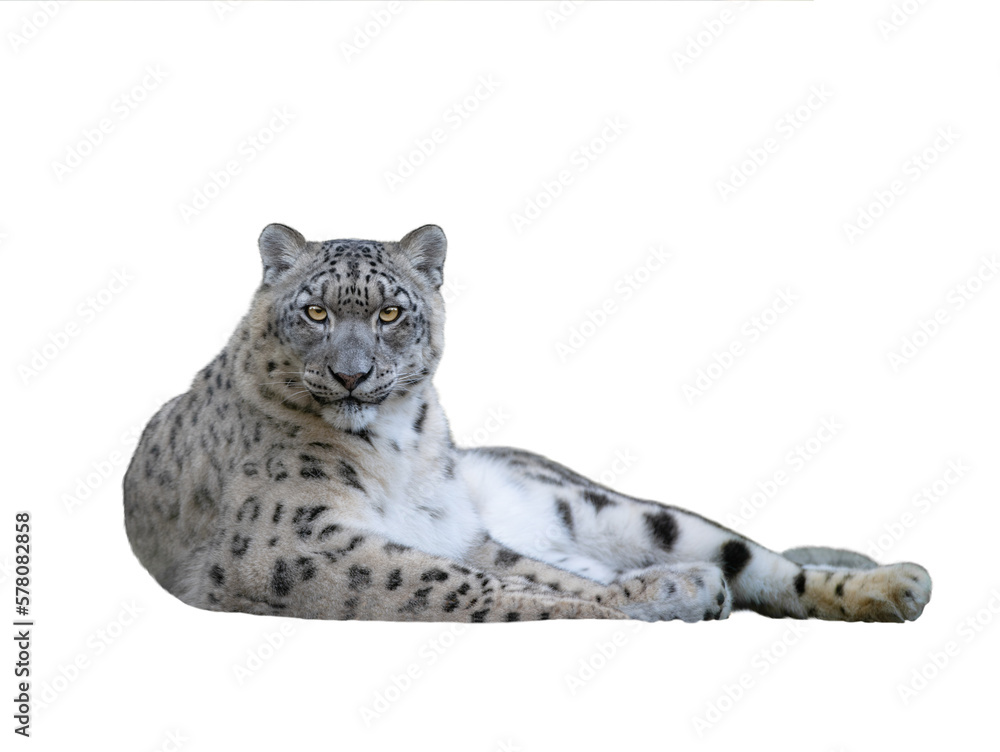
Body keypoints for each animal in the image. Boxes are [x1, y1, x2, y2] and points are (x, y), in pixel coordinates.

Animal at [123, 223, 932, 623]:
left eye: (390, 312)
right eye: (316, 312)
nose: (353, 375)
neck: (401, 448)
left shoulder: (457, 534)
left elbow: (496, 573)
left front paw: (665, 591)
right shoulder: (292, 545)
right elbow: (461, 584)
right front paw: (664, 595)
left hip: (616, 508)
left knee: (761, 561)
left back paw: (894, 586)